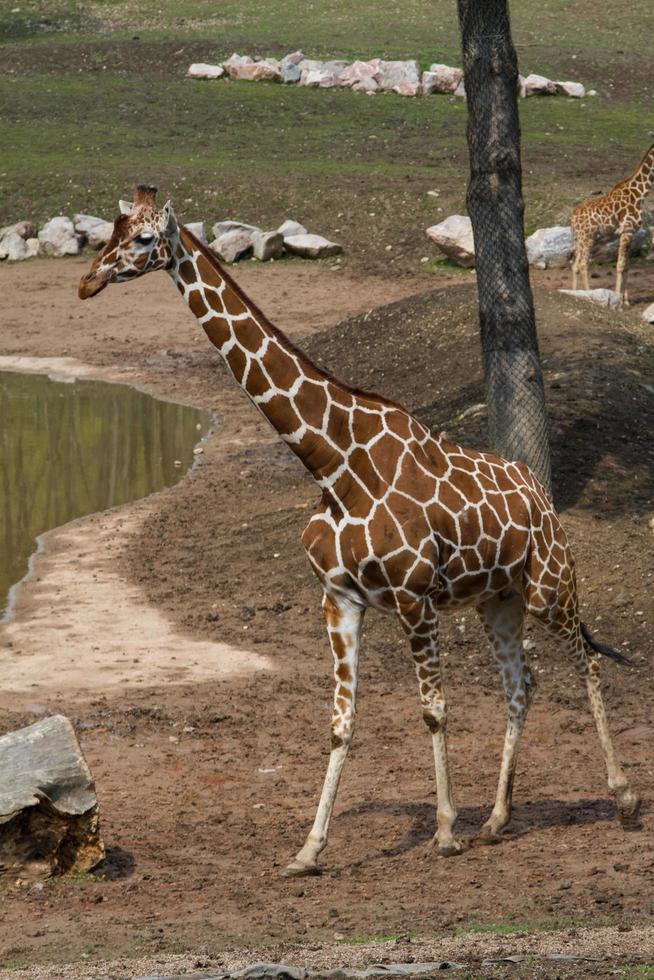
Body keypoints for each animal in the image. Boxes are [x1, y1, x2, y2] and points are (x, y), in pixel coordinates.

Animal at [79, 188, 644, 876]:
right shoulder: (339, 597)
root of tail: (541, 495)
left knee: (586, 660)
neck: (334, 465)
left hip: (549, 587)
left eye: (141, 239)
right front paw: (308, 850)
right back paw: (497, 820)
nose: (87, 280)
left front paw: (444, 831)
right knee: (522, 684)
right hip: (498, 600)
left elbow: (433, 710)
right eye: (112, 229)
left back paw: (620, 800)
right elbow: (340, 722)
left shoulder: (412, 596)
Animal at [572, 142, 654, 302]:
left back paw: (572, 292)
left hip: (581, 239)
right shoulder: (627, 231)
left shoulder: (630, 233)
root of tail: (572, 218)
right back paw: (589, 294)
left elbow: (627, 265)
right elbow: (620, 265)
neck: (639, 194)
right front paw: (618, 299)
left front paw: (626, 300)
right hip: (588, 238)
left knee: (575, 265)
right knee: (583, 264)